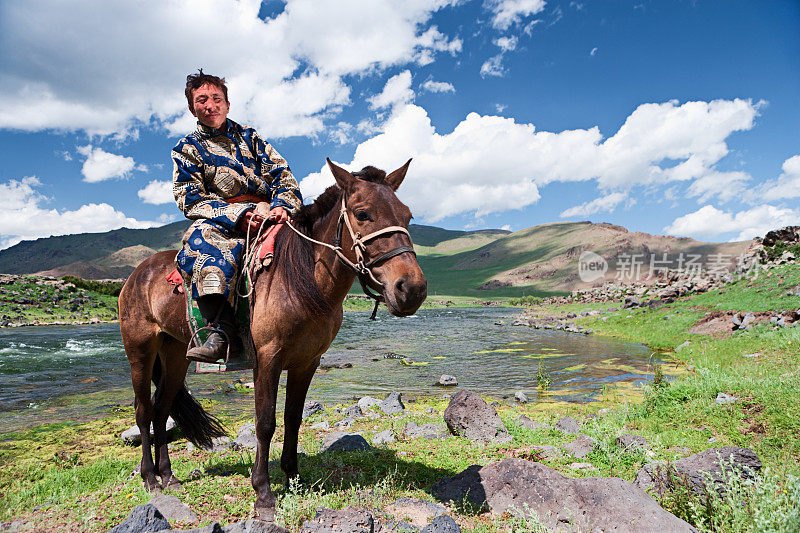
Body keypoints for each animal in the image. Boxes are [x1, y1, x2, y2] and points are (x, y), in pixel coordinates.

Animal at [117, 158, 424, 520]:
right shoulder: (267, 358)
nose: (412, 289)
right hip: (140, 352)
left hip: (176, 353)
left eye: (407, 216)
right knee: (143, 412)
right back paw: (150, 478)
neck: (300, 279)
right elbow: (265, 423)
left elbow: (293, 417)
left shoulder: (307, 362)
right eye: (362, 214)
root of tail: (137, 275)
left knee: (163, 409)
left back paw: (169, 476)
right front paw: (263, 492)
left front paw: (293, 477)